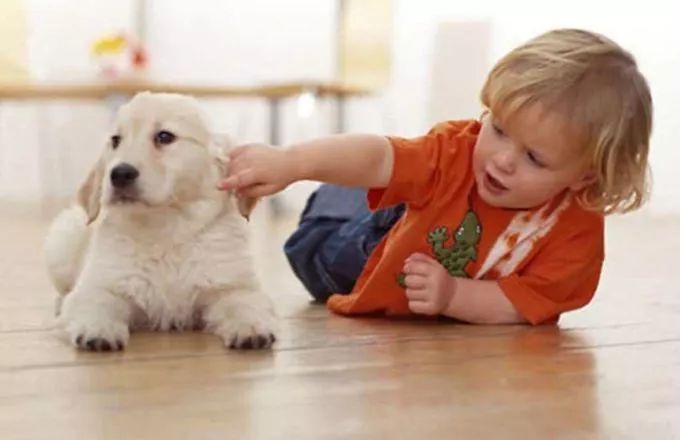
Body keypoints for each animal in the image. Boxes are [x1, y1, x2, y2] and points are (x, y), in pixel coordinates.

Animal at [43, 92, 276, 350]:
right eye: (116, 140)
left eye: (164, 136)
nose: (119, 174)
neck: (165, 230)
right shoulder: (100, 285)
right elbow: (96, 303)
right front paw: (97, 330)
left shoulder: (233, 286)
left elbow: (243, 303)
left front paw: (251, 328)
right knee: (64, 289)